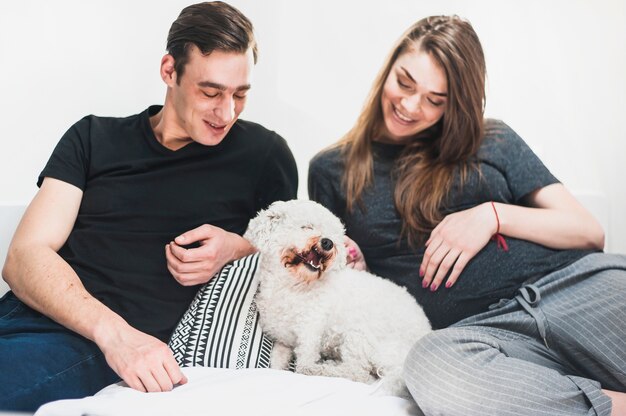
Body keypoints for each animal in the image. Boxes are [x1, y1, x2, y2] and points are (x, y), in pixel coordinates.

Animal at [243, 200, 428, 394]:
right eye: (306, 227)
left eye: (332, 235)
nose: (327, 242)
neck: (292, 287)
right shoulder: (283, 341)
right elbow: (276, 365)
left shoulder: (310, 332)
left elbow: (304, 365)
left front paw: (312, 368)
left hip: (360, 336)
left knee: (356, 372)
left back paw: (328, 368)